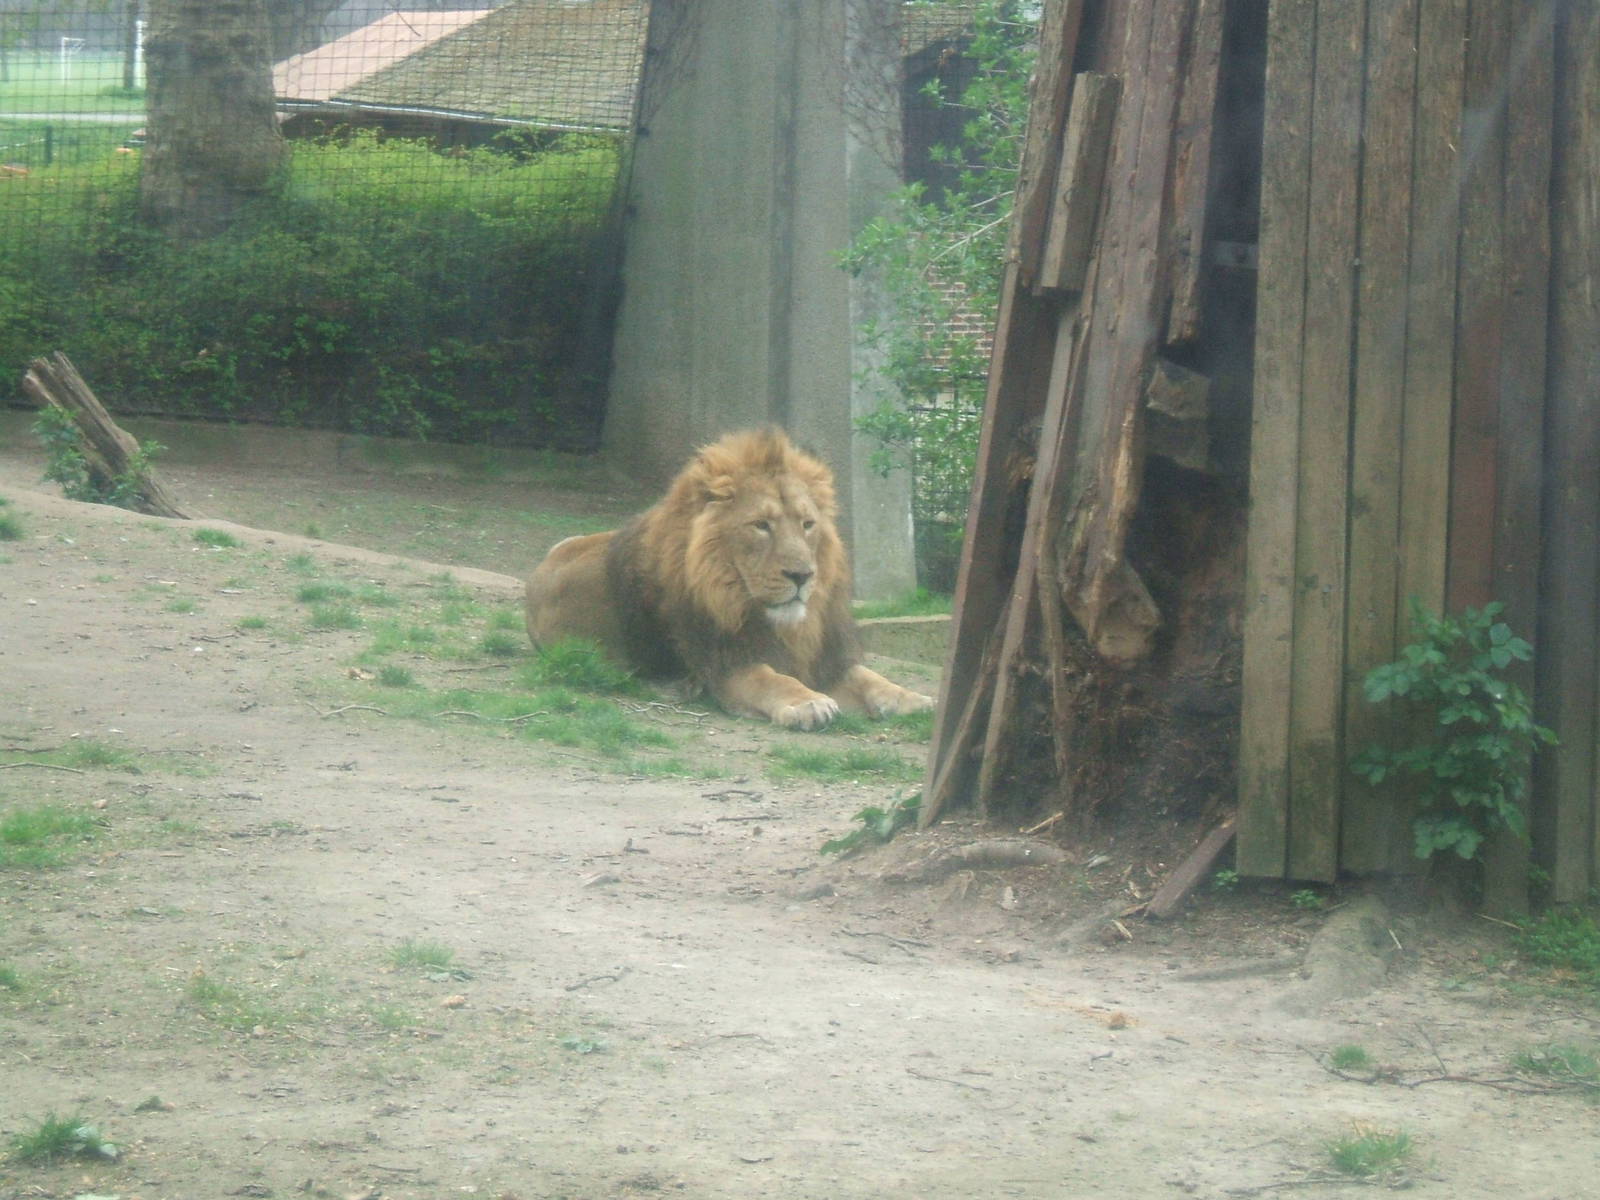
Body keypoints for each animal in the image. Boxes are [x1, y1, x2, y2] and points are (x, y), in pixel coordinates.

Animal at [524, 429, 934, 730]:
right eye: (761, 525)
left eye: (807, 524)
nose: (802, 575)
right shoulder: (723, 664)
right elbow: (770, 678)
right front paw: (807, 702)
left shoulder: (820, 658)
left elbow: (869, 677)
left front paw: (914, 699)